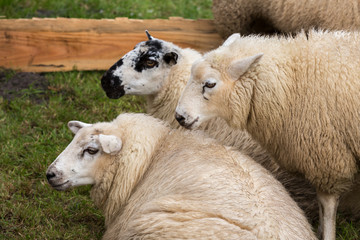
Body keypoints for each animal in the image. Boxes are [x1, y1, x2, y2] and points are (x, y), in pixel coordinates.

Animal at [176, 31, 360, 240]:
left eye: (210, 84)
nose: (179, 116)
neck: (291, 81)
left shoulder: (327, 156)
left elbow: (327, 205)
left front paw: (326, 233)